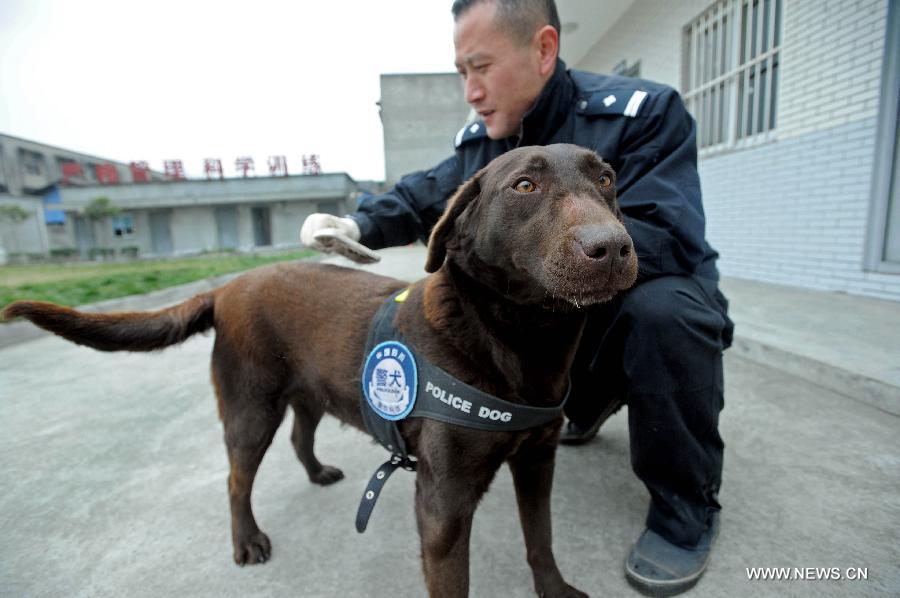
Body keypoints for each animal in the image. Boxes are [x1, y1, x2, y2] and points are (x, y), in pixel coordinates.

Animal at [7, 143, 640, 596]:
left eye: (606, 180)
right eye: (525, 186)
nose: (612, 247)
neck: (516, 340)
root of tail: (226, 287)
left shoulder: (537, 460)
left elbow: (542, 538)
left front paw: (556, 590)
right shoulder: (443, 505)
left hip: (309, 390)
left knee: (299, 435)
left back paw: (315, 473)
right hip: (250, 407)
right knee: (237, 478)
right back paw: (247, 542)